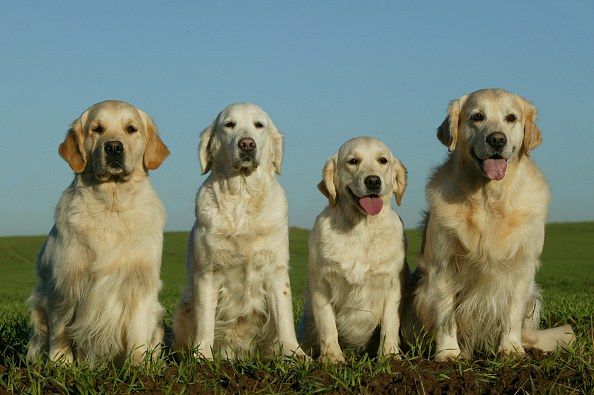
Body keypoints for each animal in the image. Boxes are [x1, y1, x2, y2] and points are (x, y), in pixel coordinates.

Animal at [27, 100, 169, 366]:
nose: (113, 147)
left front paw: (138, 368)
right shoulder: (64, 283)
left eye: (131, 129)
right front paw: (60, 364)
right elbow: (60, 331)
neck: (111, 208)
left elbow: (137, 336)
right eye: (97, 129)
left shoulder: (140, 284)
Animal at [170, 103, 300, 362]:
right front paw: (202, 356)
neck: (242, 195)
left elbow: (285, 319)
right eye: (229, 124)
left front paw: (296, 355)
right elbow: (205, 321)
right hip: (183, 307)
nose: (247, 144)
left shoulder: (276, 270)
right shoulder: (208, 272)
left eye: (259, 125)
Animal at [296, 137, 408, 366]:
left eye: (383, 160)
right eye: (353, 161)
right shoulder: (321, 283)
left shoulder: (393, 283)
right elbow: (327, 324)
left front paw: (389, 356)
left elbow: (390, 323)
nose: (373, 181)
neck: (361, 228)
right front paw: (332, 358)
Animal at [404, 89, 572, 362]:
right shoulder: (442, 264)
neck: (488, 197)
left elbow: (512, 313)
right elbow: (446, 313)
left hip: (534, 297)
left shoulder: (522, 265)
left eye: (511, 117)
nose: (497, 140)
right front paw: (448, 353)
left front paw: (511, 349)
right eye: (477, 117)